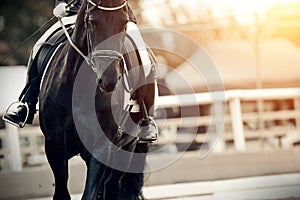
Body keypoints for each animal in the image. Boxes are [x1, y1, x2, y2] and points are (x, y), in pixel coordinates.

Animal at [39, 0, 156, 199]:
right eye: (93, 22)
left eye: (123, 24)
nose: (109, 80)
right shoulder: (53, 146)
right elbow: (62, 193)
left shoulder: (101, 148)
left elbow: (90, 194)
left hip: (127, 146)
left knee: (112, 187)